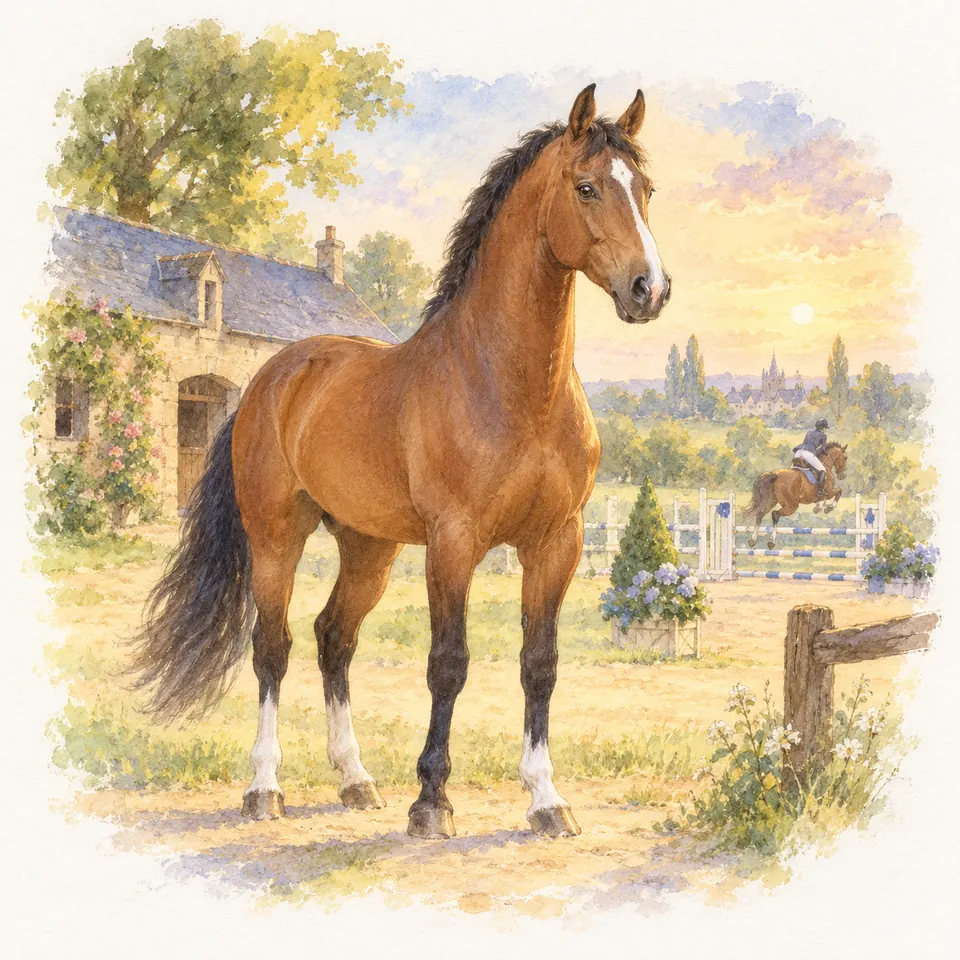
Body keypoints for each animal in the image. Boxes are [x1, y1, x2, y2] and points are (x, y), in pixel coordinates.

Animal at [132, 84, 671, 840]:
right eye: (586, 187)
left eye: (646, 189)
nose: (649, 289)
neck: (509, 384)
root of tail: (273, 378)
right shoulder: (453, 543)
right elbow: (448, 664)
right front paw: (431, 802)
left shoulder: (554, 543)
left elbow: (540, 665)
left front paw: (546, 800)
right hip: (277, 537)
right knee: (273, 647)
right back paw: (265, 789)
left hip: (369, 547)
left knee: (334, 638)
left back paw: (356, 780)